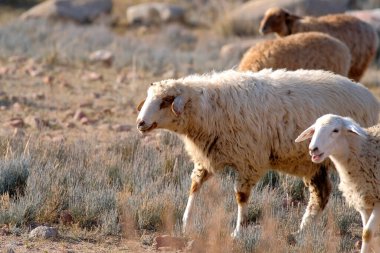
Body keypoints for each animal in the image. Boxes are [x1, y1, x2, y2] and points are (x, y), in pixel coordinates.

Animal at [135, 67, 378, 237]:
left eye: (165, 101)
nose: (140, 123)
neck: (210, 107)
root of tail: (369, 97)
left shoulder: (249, 161)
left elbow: (241, 198)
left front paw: (237, 231)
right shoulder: (207, 159)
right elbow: (194, 187)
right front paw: (186, 222)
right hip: (313, 163)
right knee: (321, 195)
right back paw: (302, 230)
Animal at [296, 114, 380, 253]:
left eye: (335, 130)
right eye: (314, 130)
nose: (313, 149)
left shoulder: (378, 201)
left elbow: (367, 233)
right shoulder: (363, 201)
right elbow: (368, 234)